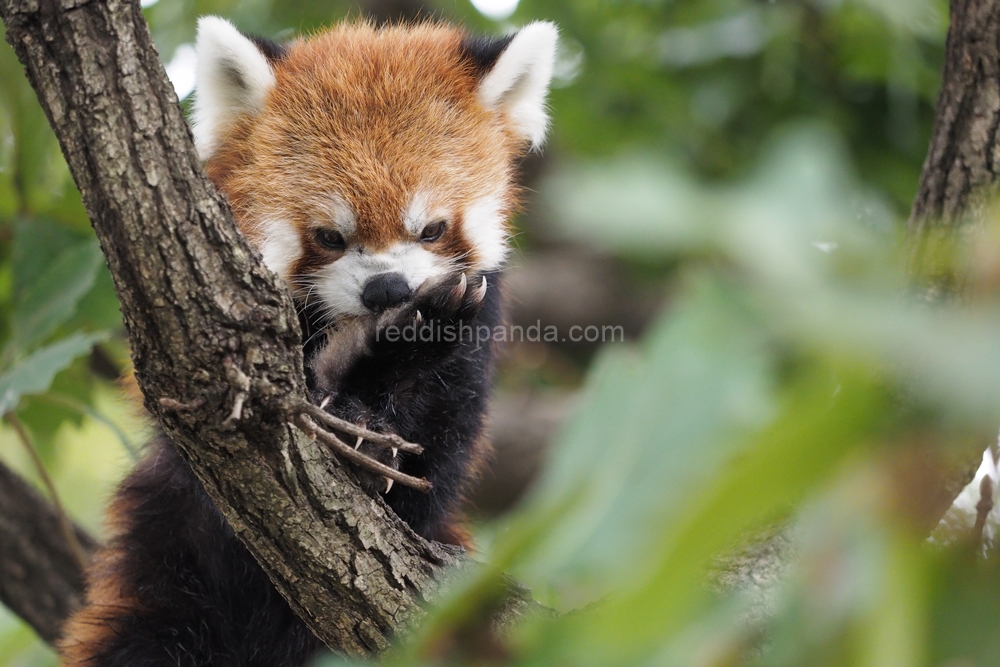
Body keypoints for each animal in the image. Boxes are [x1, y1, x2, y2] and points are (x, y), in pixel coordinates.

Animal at [58, 15, 560, 667]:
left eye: (430, 229)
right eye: (328, 236)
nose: (387, 289)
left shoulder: (474, 346)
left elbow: (431, 477)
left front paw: (397, 362)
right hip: (169, 568)